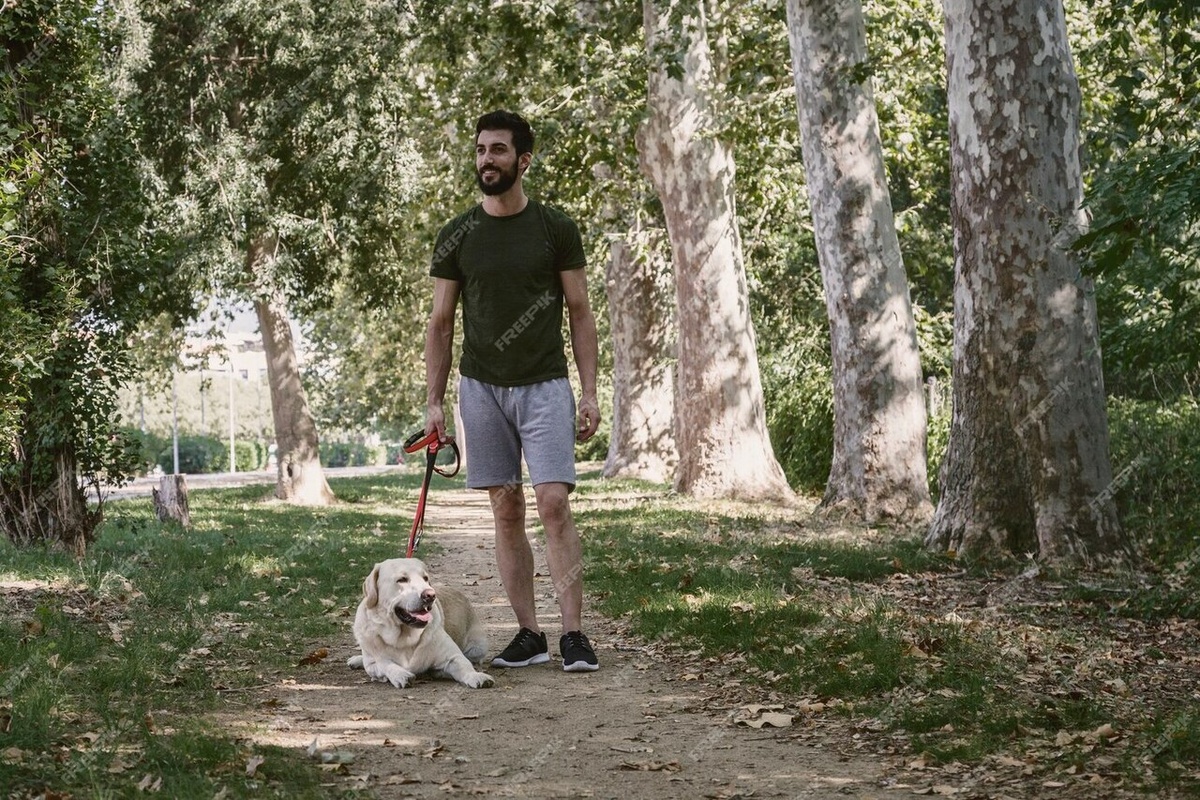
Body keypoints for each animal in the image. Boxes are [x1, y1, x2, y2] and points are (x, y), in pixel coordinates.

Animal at [345, 556, 494, 690]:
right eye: (402, 579)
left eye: (425, 578)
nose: (430, 595)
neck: (404, 639)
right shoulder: (373, 665)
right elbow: (386, 664)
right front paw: (401, 674)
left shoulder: (454, 657)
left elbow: (465, 665)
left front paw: (477, 676)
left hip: (477, 648)